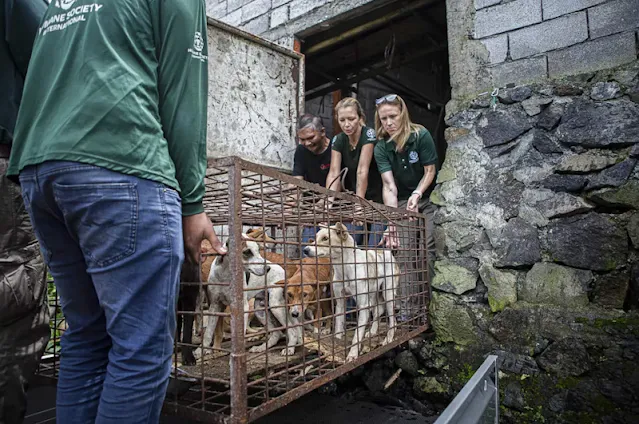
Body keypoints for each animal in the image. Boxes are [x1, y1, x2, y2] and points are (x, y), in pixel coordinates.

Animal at [304, 222, 400, 362]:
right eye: (315, 239)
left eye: (325, 238)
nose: (305, 250)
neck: (344, 267)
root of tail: (388, 253)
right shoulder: (340, 303)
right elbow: (338, 327)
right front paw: (337, 344)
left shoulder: (363, 306)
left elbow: (357, 335)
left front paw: (352, 354)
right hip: (373, 297)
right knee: (378, 312)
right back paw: (372, 331)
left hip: (387, 295)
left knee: (392, 319)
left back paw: (389, 338)